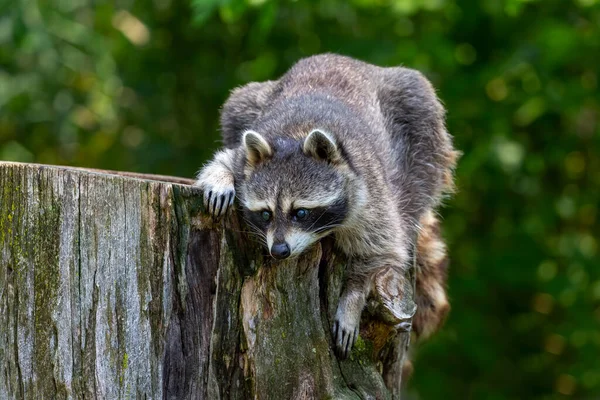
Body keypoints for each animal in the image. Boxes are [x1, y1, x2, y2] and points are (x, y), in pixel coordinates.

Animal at [195, 54, 458, 360]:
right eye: (266, 214)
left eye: (300, 212)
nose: (279, 251)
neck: (296, 135)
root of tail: (345, 58)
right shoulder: (244, 158)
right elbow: (225, 158)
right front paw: (220, 178)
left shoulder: (370, 192)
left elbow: (382, 250)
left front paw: (352, 298)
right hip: (253, 99)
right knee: (235, 107)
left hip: (418, 118)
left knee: (419, 172)